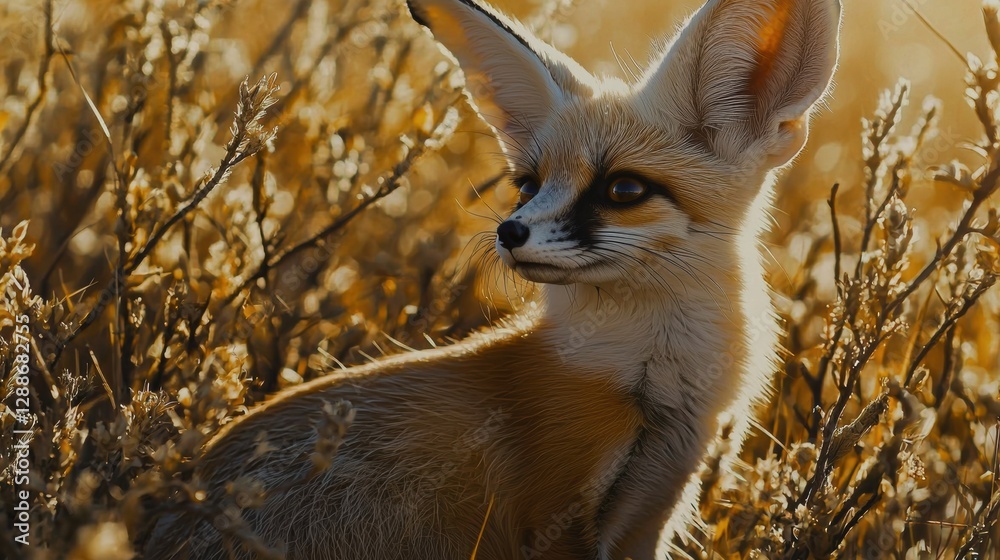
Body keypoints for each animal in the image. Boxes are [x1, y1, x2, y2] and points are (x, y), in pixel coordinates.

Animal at [144, 0, 841, 558]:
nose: (510, 231)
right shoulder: (558, 515)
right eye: (528, 185)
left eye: (623, 189)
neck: (654, 384)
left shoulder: (655, 505)